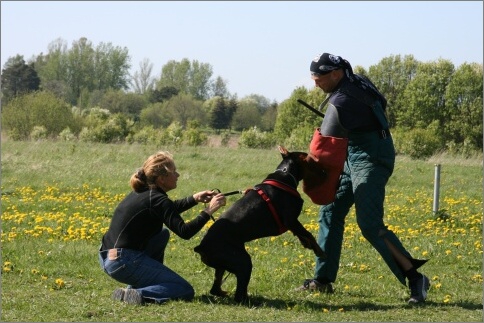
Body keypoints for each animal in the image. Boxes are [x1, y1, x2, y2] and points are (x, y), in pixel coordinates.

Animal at [193, 147, 326, 304]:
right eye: (309, 158)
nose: (324, 170)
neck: (284, 174)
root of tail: (201, 247)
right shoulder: (291, 220)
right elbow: (308, 234)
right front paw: (319, 250)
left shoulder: (292, 222)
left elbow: (302, 234)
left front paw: (307, 244)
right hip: (243, 261)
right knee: (239, 295)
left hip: (223, 264)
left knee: (215, 288)